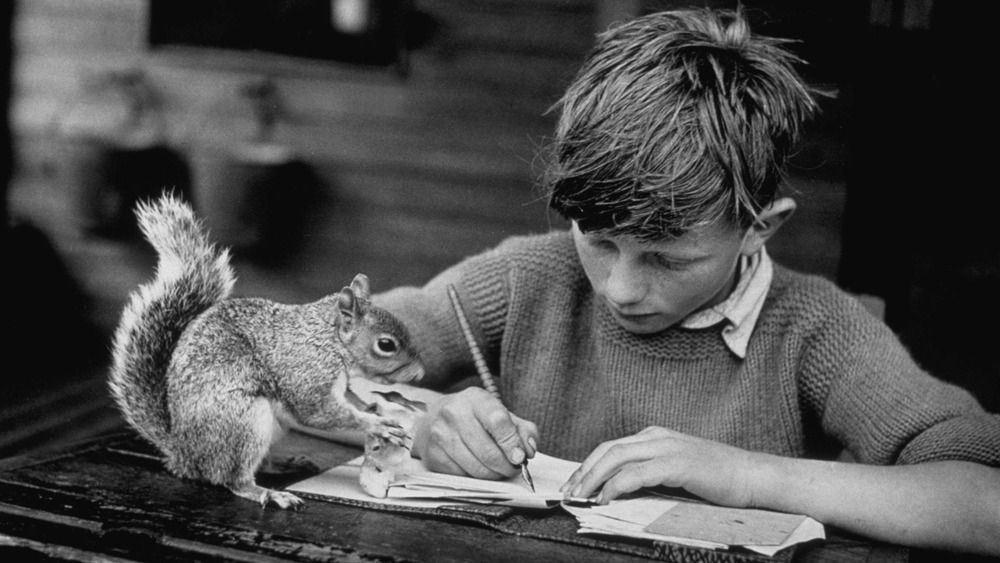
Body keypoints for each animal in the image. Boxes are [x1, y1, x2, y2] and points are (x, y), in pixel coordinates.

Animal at [106, 192, 426, 508]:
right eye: (386, 345)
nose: (421, 373)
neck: (330, 341)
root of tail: (184, 455)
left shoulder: (339, 384)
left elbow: (350, 399)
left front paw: (372, 406)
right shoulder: (307, 375)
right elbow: (320, 413)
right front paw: (376, 424)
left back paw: (284, 466)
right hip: (242, 421)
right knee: (233, 479)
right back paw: (268, 493)